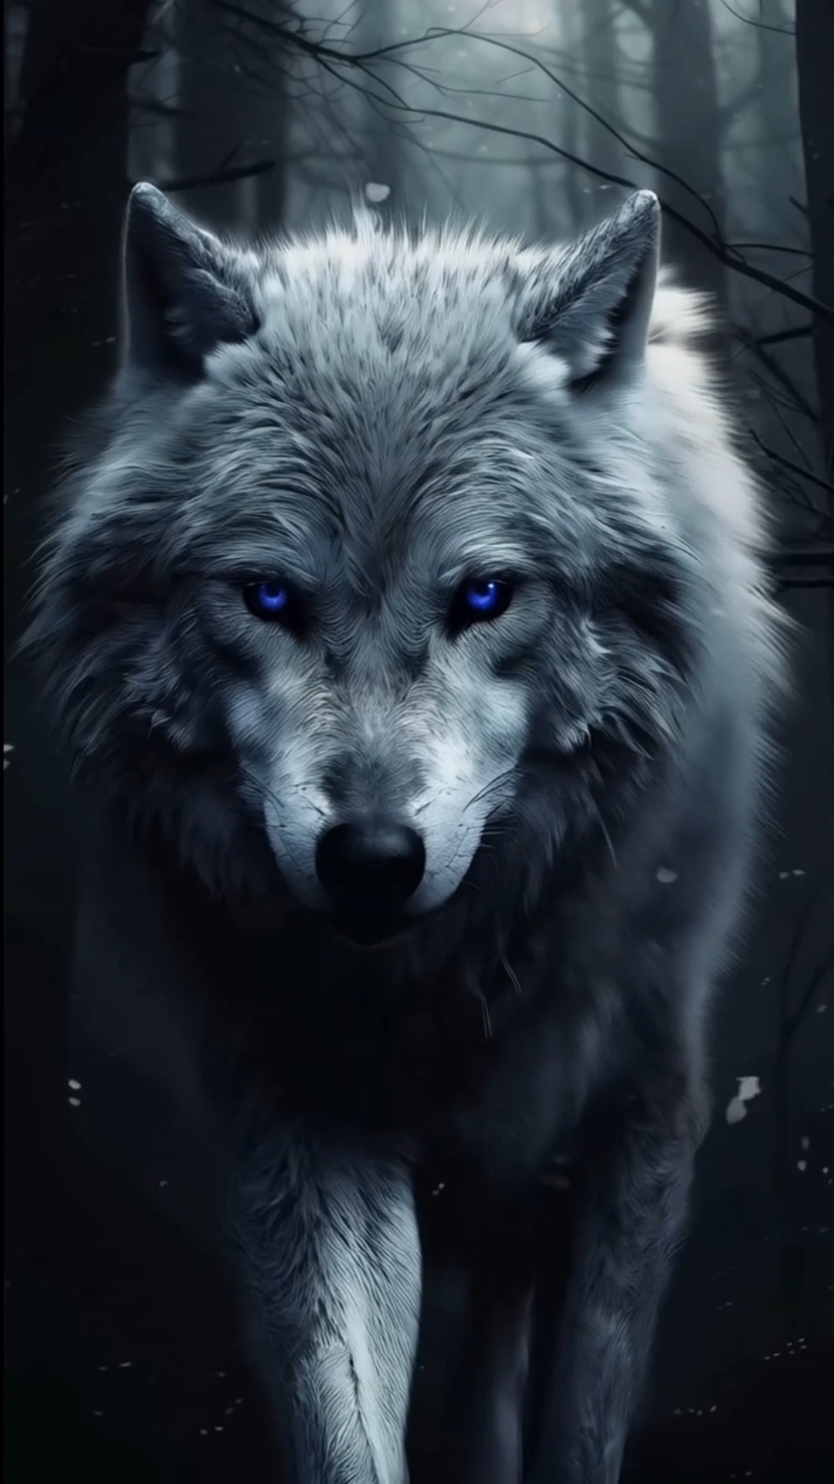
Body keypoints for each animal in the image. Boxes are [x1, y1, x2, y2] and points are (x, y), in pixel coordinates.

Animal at [27, 182, 787, 1483]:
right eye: (268, 596)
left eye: (485, 594)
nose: (373, 860)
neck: (445, 977)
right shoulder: (304, 1121)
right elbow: (346, 1416)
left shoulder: (639, 1106)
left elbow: (583, 1422)